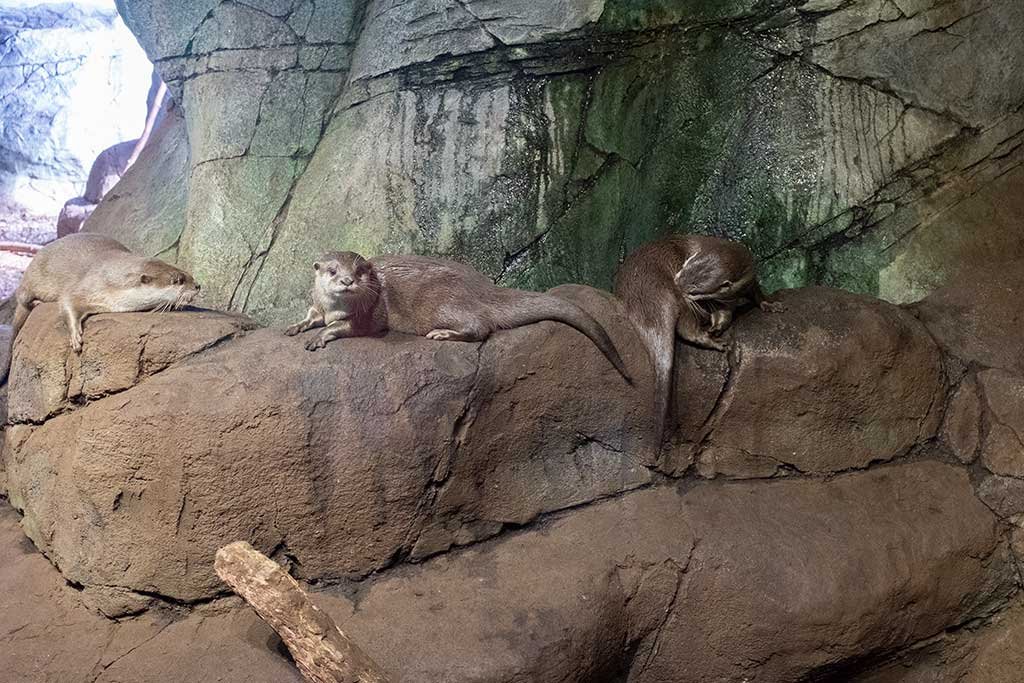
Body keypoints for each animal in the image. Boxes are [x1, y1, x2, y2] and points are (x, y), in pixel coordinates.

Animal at [2, 234, 200, 383]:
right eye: (178, 280)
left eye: (187, 273)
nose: (198, 286)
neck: (113, 282)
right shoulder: (87, 285)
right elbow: (67, 301)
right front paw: (75, 336)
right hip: (30, 278)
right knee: (22, 298)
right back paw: (37, 303)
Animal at [285, 252, 632, 383]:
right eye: (332, 271)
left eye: (360, 271)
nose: (347, 281)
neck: (335, 306)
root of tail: (482, 287)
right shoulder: (318, 303)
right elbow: (312, 314)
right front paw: (298, 325)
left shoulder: (368, 315)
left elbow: (345, 326)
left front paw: (320, 336)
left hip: (440, 303)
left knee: (481, 326)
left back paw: (444, 334)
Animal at [614, 234, 781, 450]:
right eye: (681, 270)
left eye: (695, 290)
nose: (677, 285)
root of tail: (643, 293)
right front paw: (716, 327)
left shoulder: (747, 278)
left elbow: (755, 294)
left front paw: (770, 304)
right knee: (686, 328)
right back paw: (715, 342)